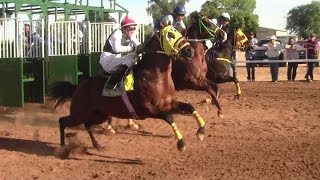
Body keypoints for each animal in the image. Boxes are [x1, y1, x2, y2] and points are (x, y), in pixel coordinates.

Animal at [49, 25, 206, 152]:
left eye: (179, 32)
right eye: (170, 35)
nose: (189, 50)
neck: (156, 77)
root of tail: (78, 86)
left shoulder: (168, 103)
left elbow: (190, 107)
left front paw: (201, 131)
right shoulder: (147, 109)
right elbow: (169, 117)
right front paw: (181, 143)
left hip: (100, 114)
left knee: (87, 125)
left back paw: (97, 145)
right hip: (79, 113)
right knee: (62, 121)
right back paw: (62, 148)